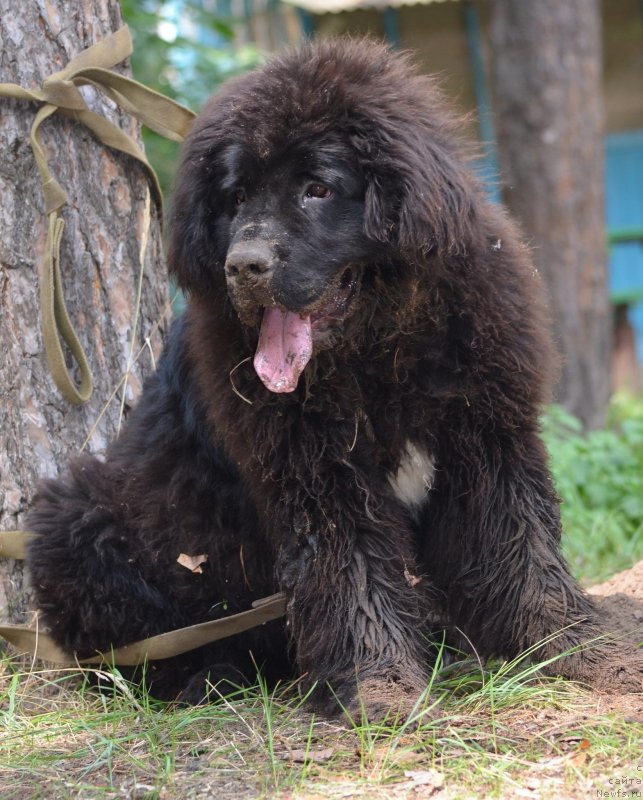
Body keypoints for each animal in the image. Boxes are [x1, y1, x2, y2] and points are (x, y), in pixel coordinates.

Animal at [27, 37, 640, 712]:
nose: (244, 264)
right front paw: (380, 688)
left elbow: (520, 542)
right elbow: (352, 572)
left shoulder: (487, 433)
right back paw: (211, 675)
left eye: (317, 189)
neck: (377, 353)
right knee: (137, 649)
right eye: (235, 198)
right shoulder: (318, 471)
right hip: (78, 517)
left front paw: (574, 646)